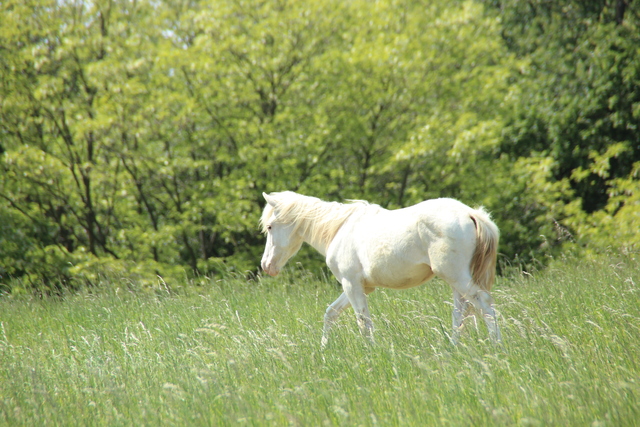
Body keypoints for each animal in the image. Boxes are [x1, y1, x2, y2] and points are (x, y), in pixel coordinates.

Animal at [260, 192, 500, 346]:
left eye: (270, 226)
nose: (266, 266)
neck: (340, 228)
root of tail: (470, 214)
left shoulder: (352, 285)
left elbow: (363, 323)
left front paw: (371, 353)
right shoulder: (358, 287)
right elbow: (331, 313)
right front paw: (323, 349)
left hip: (456, 277)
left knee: (483, 306)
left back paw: (497, 347)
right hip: (456, 282)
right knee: (460, 313)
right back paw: (453, 348)